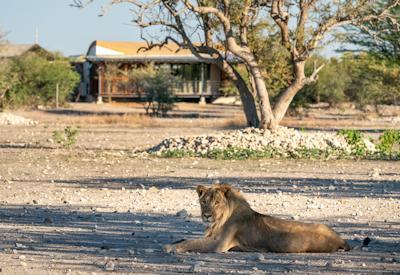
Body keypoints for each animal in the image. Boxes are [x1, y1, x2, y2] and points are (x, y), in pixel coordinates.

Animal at [163, 184, 350, 253]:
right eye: (204, 202)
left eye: (216, 202)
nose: (207, 215)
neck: (216, 223)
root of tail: (341, 240)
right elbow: (184, 238)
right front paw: (172, 243)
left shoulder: (219, 245)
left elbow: (191, 242)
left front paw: (170, 247)